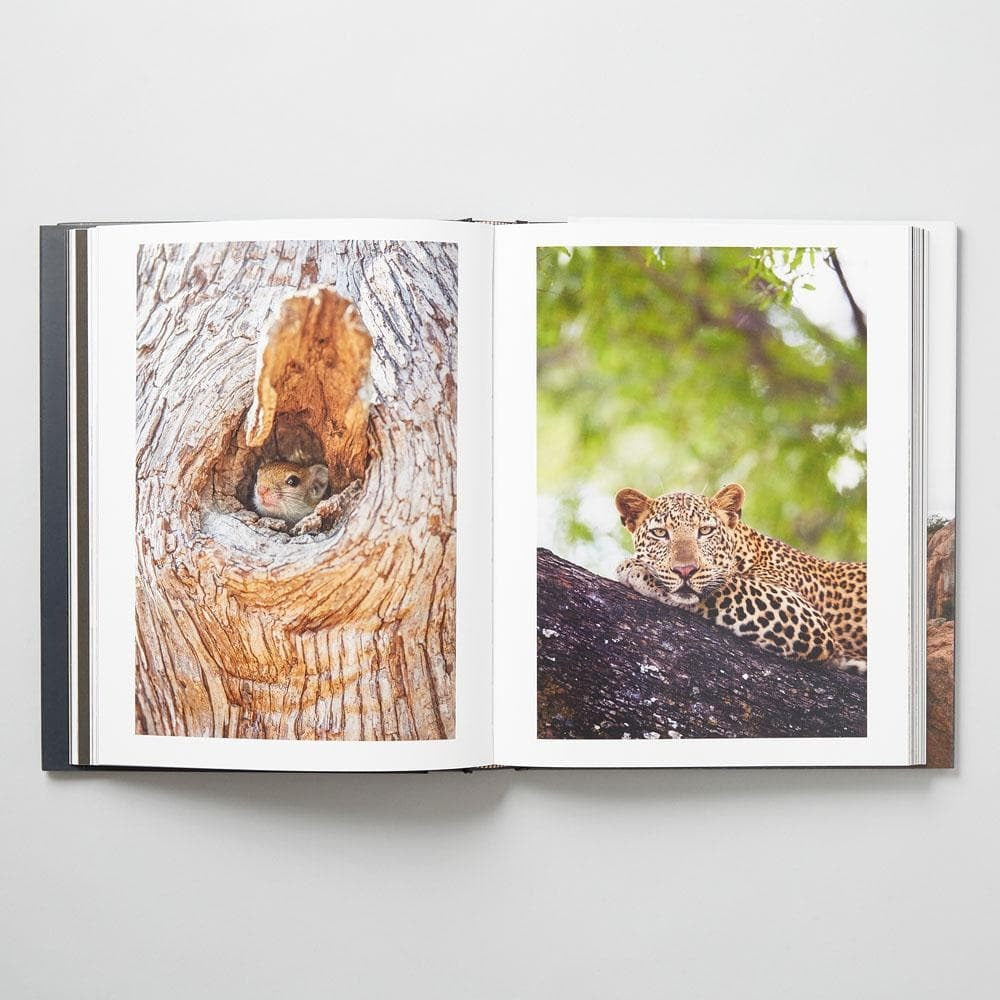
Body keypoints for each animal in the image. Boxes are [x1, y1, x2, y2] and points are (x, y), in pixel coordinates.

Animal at [614, 483, 867, 671]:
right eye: (660, 533)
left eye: (705, 531)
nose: (685, 570)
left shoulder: (808, 618)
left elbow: (728, 586)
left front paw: (635, 568)